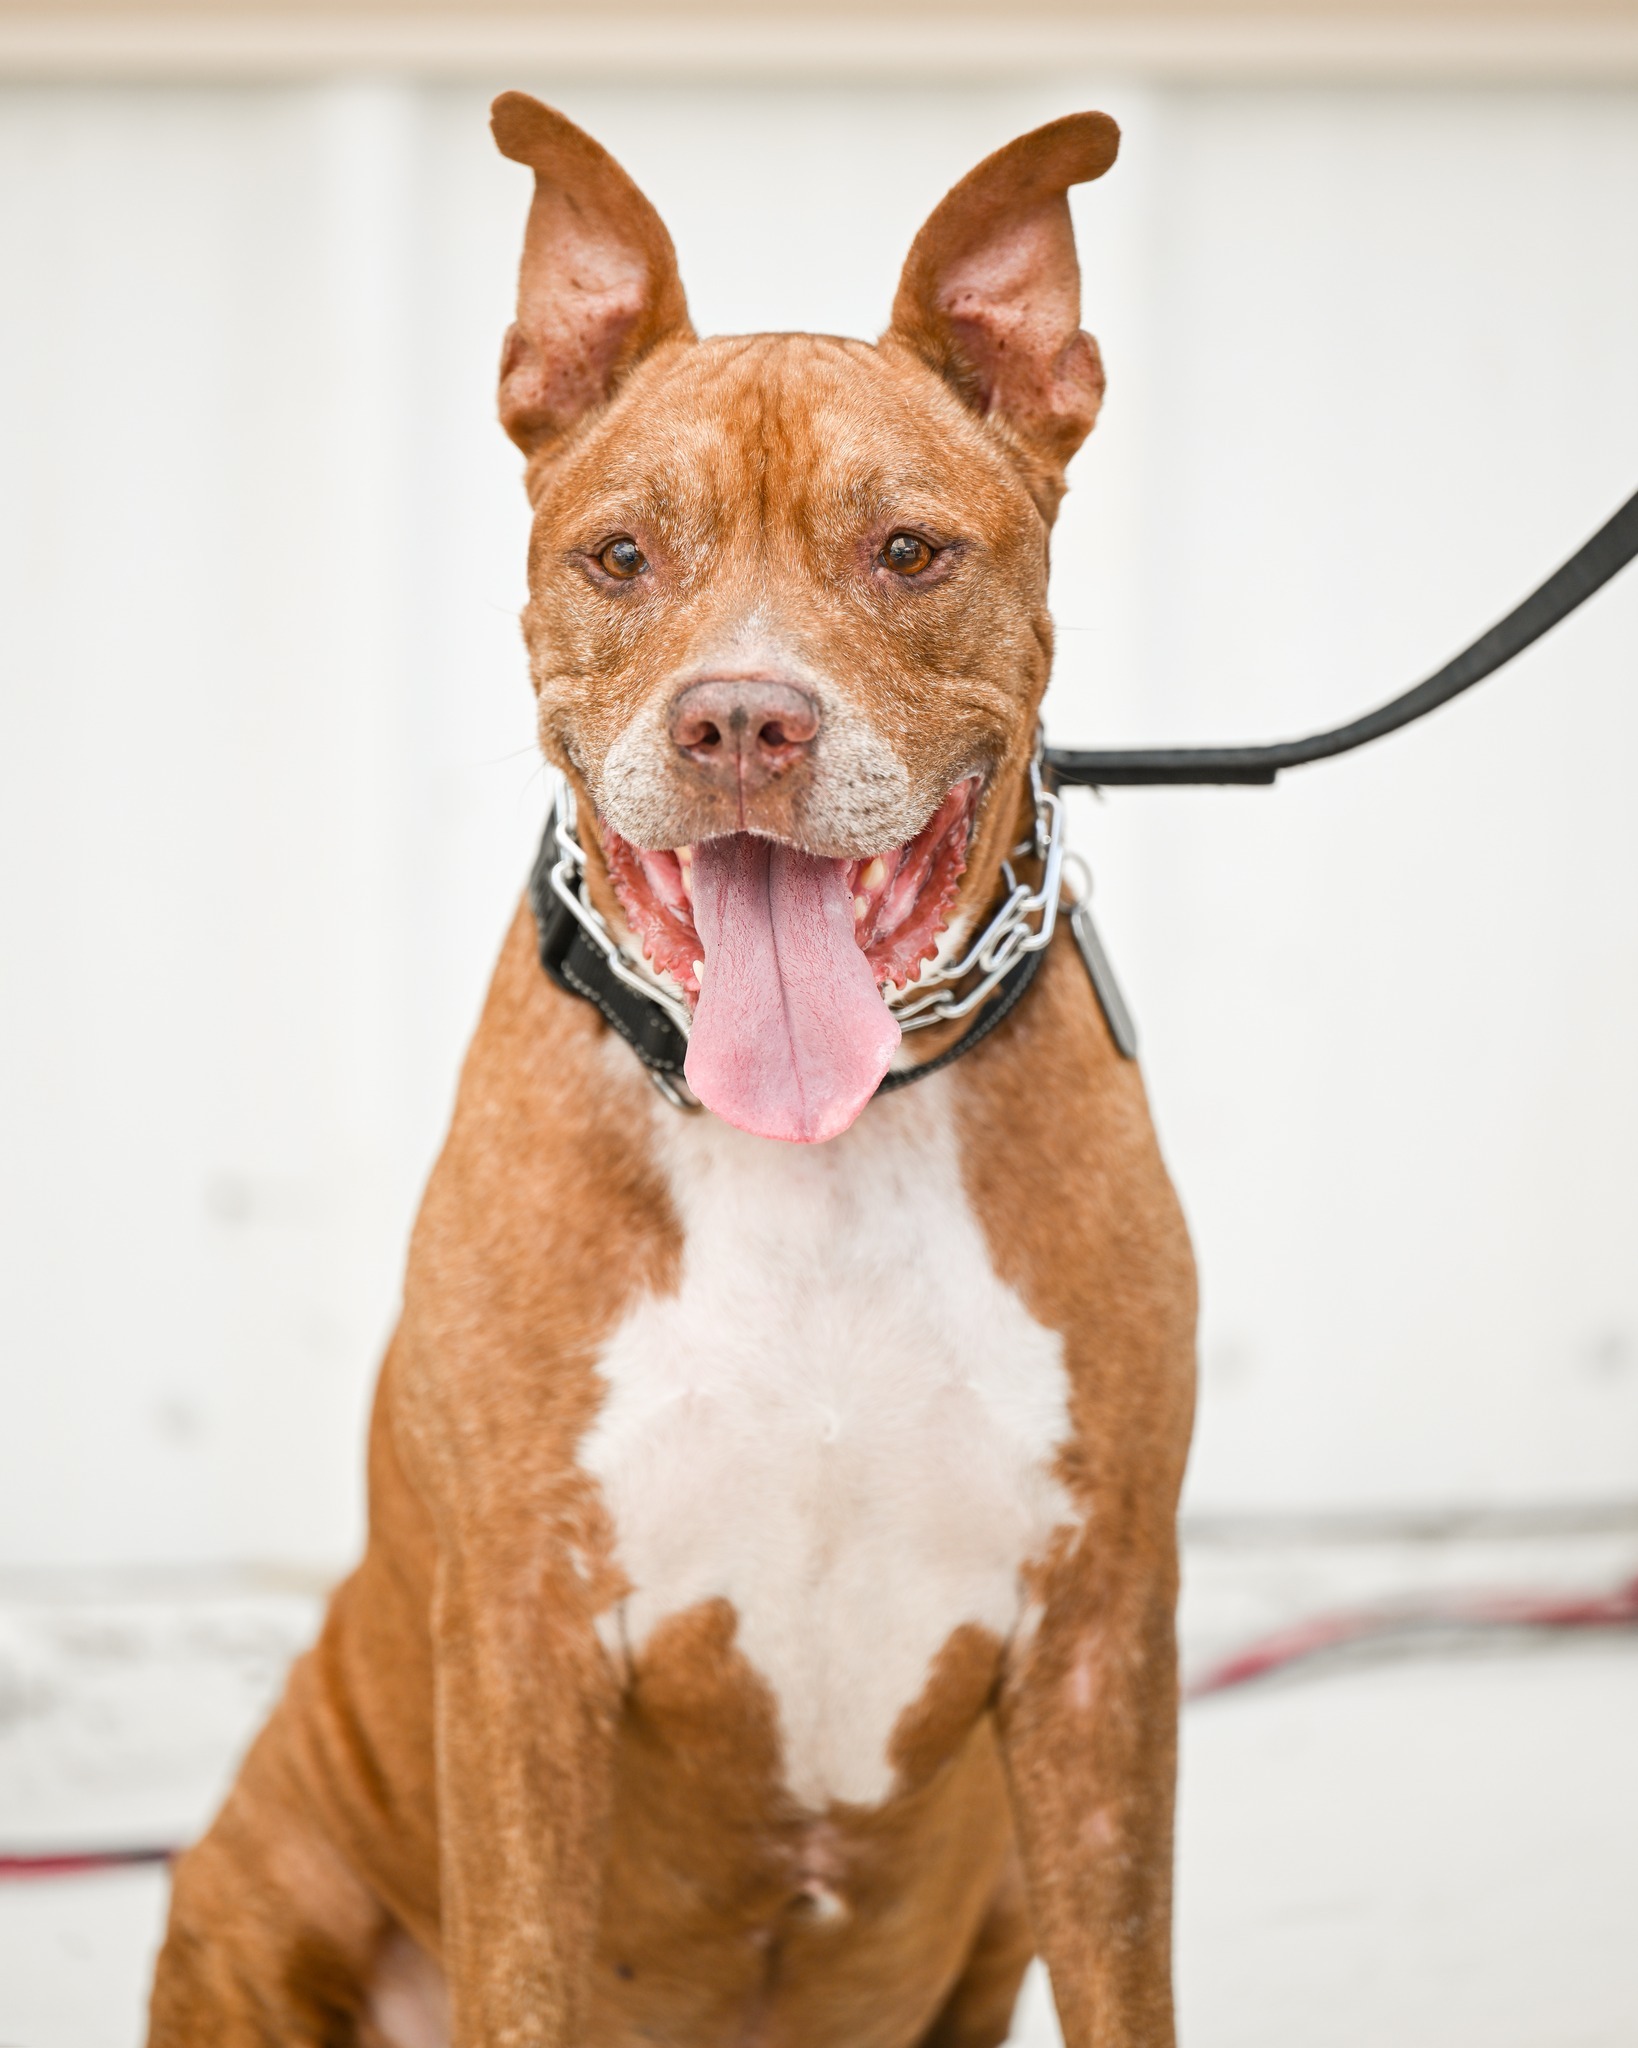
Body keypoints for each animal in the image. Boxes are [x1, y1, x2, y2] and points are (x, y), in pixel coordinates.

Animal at [150, 96, 1187, 2048]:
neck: (824, 1141)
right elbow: (520, 1977)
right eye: (621, 556)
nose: (740, 720)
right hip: (260, 1881)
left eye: (908, 553)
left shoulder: (1100, 1645)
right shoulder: (524, 1646)